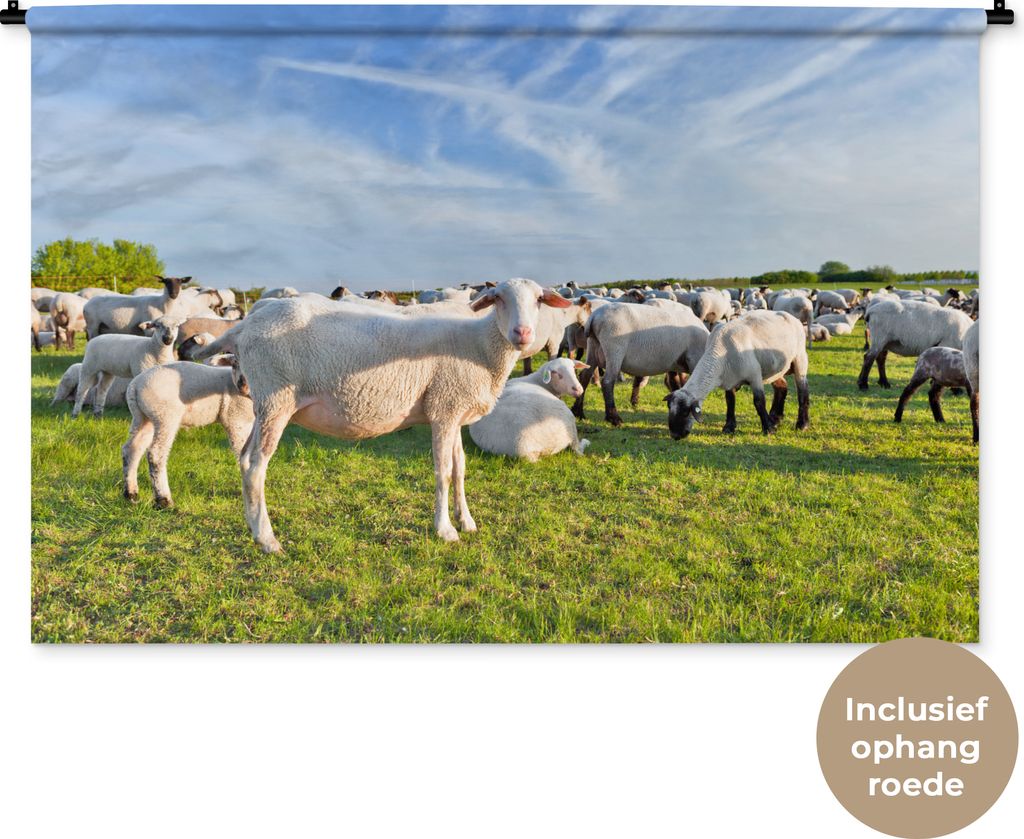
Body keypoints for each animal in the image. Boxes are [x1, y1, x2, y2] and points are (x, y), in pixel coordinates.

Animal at [122, 358, 255, 508]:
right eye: (235, 363)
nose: (242, 385)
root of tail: (135, 386)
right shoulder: (236, 418)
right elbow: (243, 454)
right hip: (165, 415)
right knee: (156, 453)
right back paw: (164, 500)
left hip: (143, 417)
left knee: (132, 449)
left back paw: (131, 493)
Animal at [191, 277, 574, 550]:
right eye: (499, 299)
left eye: (538, 300)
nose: (522, 333)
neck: (479, 344)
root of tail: (246, 325)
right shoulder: (444, 408)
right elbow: (443, 472)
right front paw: (445, 530)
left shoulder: (452, 409)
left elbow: (461, 470)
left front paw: (466, 521)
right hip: (276, 398)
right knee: (256, 465)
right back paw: (268, 539)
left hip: (265, 404)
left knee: (243, 458)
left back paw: (252, 525)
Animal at [571, 299, 710, 426]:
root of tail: (594, 316)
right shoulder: (693, 359)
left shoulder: (674, 362)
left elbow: (675, 383)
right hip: (614, 350)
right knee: (607, 382)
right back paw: (614, 418)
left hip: (593, 347)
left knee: (584, 376)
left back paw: (578, 412)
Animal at [666, 310, 810, 438]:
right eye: (669, 408)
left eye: (686, 412)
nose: (675, 435)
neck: (720, 352)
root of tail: (793, 318)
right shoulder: (730, 379)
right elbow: (730, 401)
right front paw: (729, 427)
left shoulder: (754, 375)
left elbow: (759, 402)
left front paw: (768, 429)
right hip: (775, 369)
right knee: (782, 387)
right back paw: (776, 418)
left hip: (800, 359)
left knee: (802, 392)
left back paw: (802, 424)